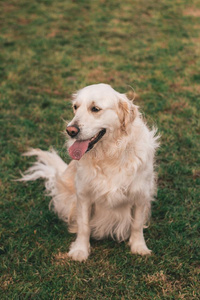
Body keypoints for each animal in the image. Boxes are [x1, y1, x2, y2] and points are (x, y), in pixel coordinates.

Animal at [19, 83, 159, 262]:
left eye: (95, 109)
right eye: (75, 107)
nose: (70, 130)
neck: (109, 154)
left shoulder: (141, 194)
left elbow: (137, 225)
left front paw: (139, 247)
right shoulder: (83, 195)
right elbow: (84, 225)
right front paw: (80, 250)